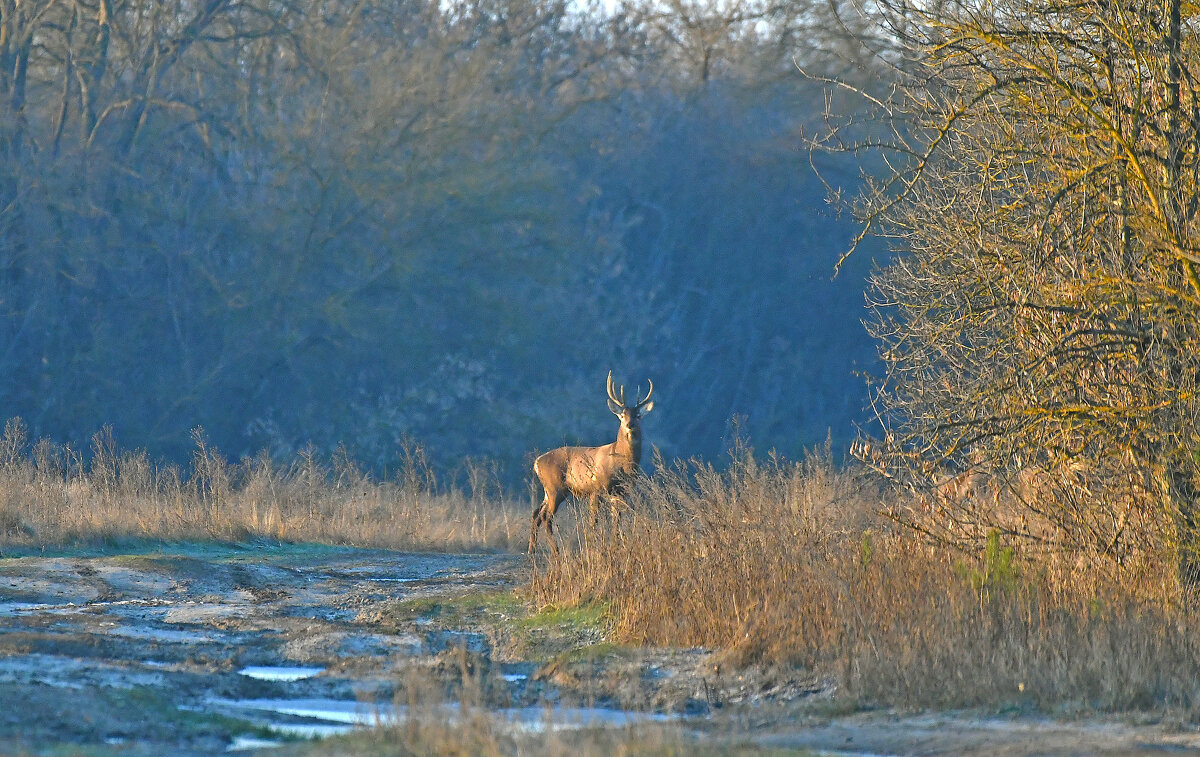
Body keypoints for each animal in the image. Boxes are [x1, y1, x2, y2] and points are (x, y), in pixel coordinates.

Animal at [528, 374, 652, 556]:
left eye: (638, 415)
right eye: (622, 415)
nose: (630, 425)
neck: (620, 462)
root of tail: (537, 462)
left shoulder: (621, 491)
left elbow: (616, 519)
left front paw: (614, 546)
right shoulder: (596, 488)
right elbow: (594, 521)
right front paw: (594, 546)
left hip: (548, 490)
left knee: (536, 512)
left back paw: (532, 548)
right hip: (555, 487)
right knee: (546, 516)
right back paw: (556, 550)